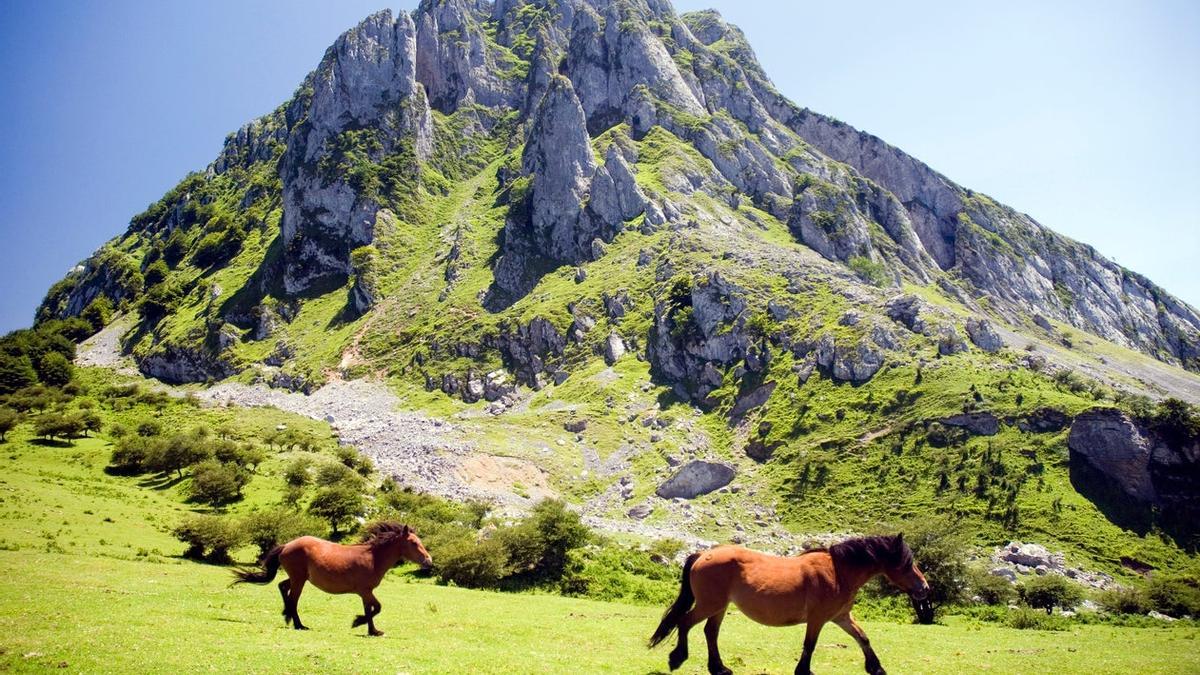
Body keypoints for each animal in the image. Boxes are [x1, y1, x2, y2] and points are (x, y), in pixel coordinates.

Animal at [229, 516, 432, 634]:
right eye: (414, 543)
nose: (429, 561)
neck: (373, 557)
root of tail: (286, 545)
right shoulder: (365, 591)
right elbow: (377, 608)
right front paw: (357, 622)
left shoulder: (365, 593)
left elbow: (370, 610)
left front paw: (372, 630)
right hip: (299, 579)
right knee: (293, 599)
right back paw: (298, 624)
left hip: (298, 578)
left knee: (282, 587)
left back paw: (287, 616)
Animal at [652, 533, 931, 667]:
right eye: (907, 564)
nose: (924, 588)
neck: (838, 572)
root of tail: (703, 555)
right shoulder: (818, 619)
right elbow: (809, 646)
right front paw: (802, 670)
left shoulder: (841, 617)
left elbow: (863, 638)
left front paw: (876, 668)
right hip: (709, 605)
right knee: (685, 623)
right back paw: (677, 658)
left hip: (719, 608)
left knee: (710, 633)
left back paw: (719, 668)